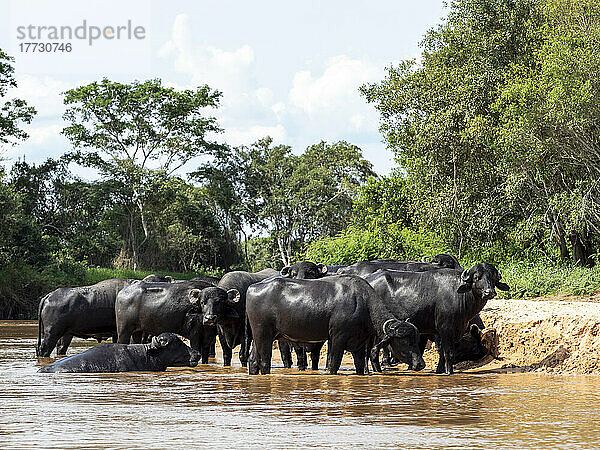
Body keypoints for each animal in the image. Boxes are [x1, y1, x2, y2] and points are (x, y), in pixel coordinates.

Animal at [246, 274, 424, 376]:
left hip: (259, 336)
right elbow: (333, 363)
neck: (362, 303)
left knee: (253, 360)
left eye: (416, 340)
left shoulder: (359, 344)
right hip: (264, 335)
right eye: (405, 341)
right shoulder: (337, 338)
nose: (421, 364)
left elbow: (360, 365)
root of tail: (253, 287)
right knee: (264, 361)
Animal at [364, 266, 508, 374]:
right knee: (371, 350)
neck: (460, 296)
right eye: (477, 277)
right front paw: (449, 372)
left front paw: (439, 370)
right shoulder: (446, 330)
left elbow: (440, 353)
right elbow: (448, 353)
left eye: (493, 277)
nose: (489, 292)